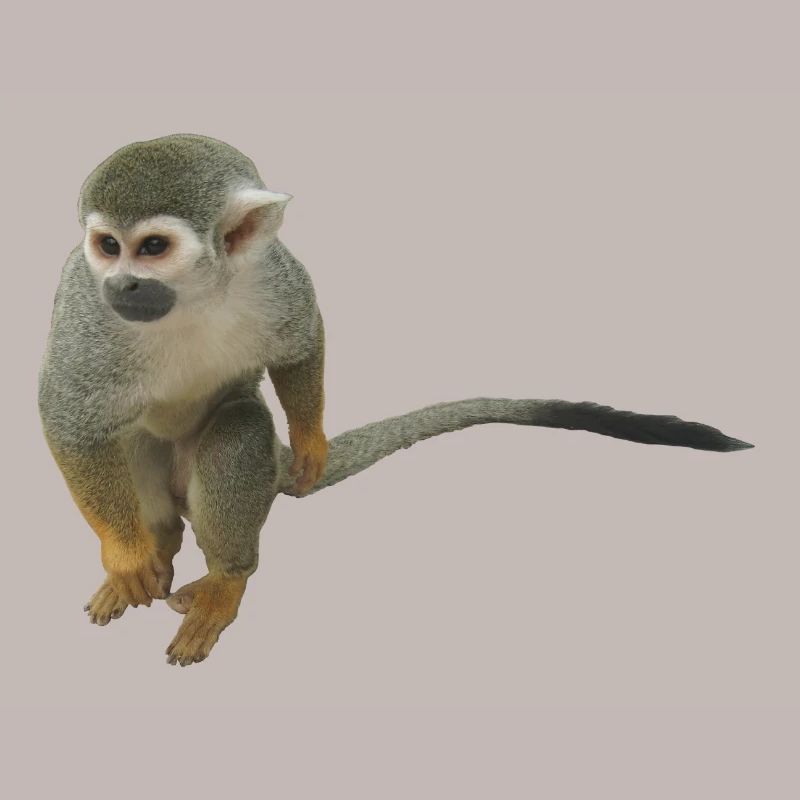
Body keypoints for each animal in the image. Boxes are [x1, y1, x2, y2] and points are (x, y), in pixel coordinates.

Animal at [38, 134, 753, 667]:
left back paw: (228, 577)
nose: (125, 285)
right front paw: (126, 555)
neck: (195, 297)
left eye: (153, 247)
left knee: (238, 426)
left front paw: (312, 441)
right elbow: (67, 417)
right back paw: (153, 548)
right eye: (108, 246)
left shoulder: (273, 275)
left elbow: (303, 341)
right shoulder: (87, 310)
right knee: (130, 443)